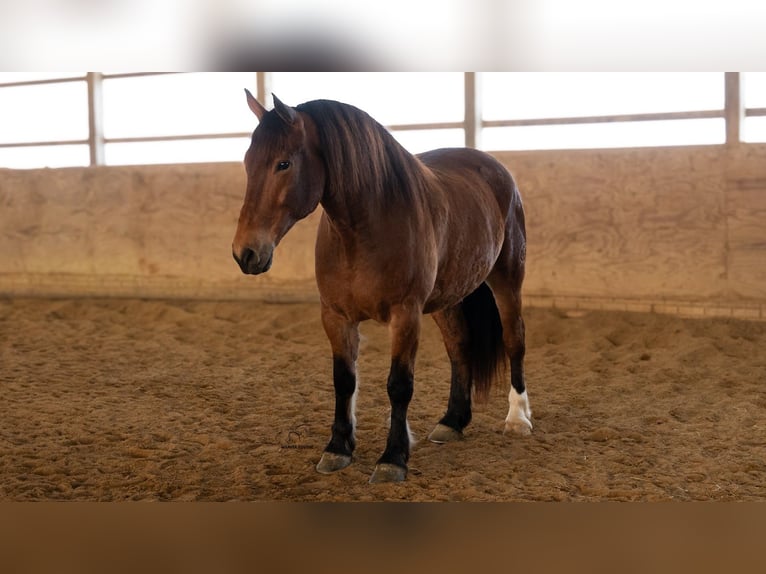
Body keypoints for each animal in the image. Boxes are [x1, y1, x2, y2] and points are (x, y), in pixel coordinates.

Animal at [232, 90, 532, 483]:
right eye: (248, 162)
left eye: (283, 164)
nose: (245, 253)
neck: (364, 229)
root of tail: (495, 170)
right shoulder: (336, 317)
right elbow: (343, 380)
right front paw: (338, 448)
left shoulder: (406, 316)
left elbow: (399, 385)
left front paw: (393, 458)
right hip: (449, 299)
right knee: (459, 348)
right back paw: (453, 421)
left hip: (507, 280)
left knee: (514, 340)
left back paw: (518, 418)